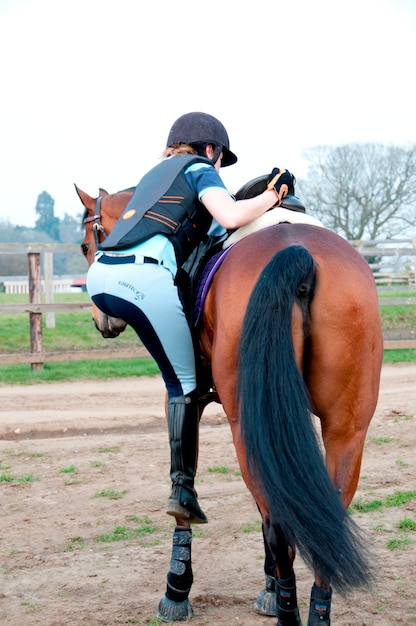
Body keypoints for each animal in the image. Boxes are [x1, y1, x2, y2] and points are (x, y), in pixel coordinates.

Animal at [77, 182, 384, 624]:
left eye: (86, 245)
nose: (103, 322)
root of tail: (298, 252)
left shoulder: (186, 390)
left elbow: (183, 486)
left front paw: (177, 588)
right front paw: (269, 585)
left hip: (250, 424)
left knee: (279, 526)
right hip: (345, 428)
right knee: (323, 520)